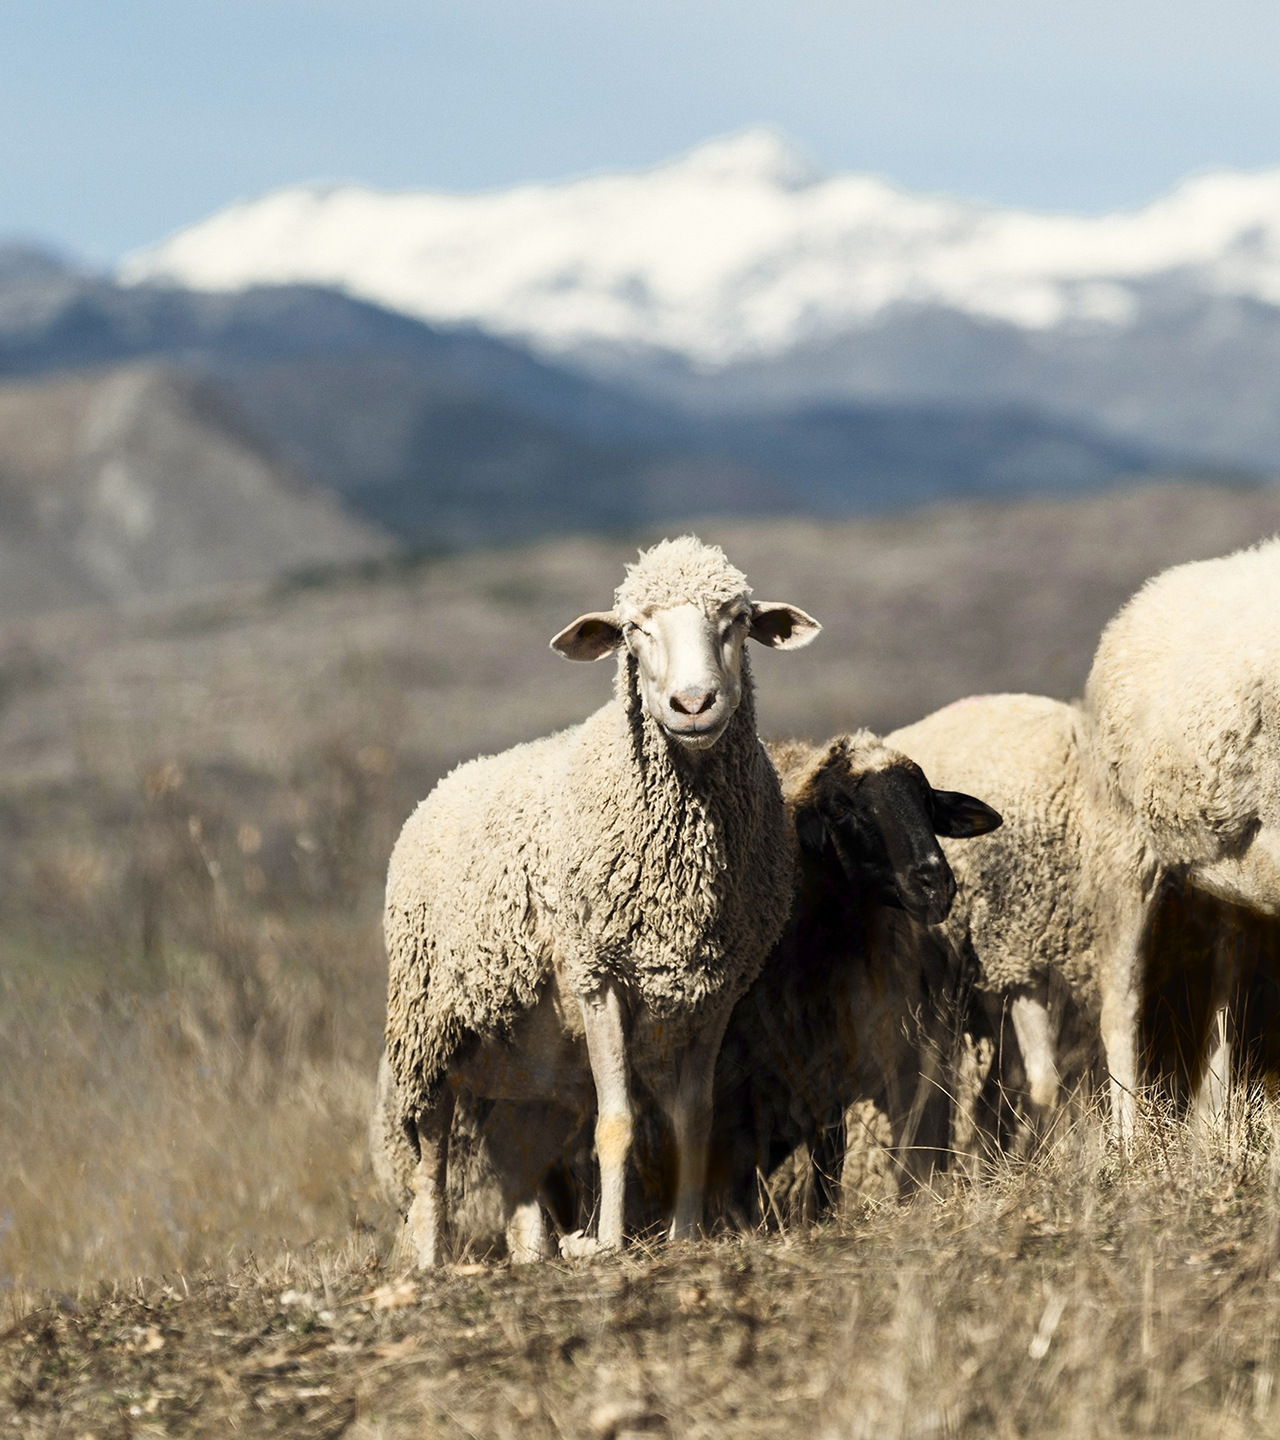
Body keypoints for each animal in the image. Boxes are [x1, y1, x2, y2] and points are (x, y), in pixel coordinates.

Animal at [380, 535, 817, 1267]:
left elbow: (693, 1118)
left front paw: (685, 1234)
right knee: (432, 1150)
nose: (693, 705)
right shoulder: (597, 974)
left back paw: (536, 1250)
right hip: (428, 1023)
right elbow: (616, 1122)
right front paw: (612, 1242)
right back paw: (433, 1257)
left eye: (735, 620)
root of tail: (445, 782)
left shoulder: (714, 988)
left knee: (517, 1154)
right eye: (635, 629)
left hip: (529, 1064)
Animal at [1082, 541, 1280, 1134]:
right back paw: (1130, 1141)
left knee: (1223, 999)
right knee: (1121, 1003)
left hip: (1232, 877)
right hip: (1124, 844)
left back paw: (1212, 1124)